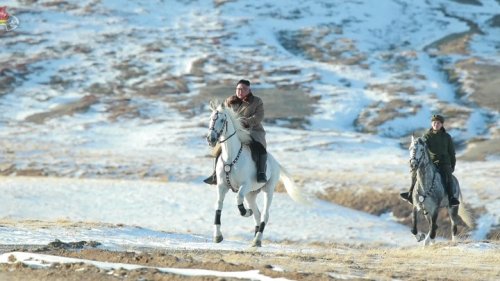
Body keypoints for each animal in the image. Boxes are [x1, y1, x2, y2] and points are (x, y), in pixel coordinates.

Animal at [206, 99, 308, 246]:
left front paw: (245, 212)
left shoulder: (245, 186)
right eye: (210, 118)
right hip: (251, 194)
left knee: (265, 214)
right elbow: (218, 206)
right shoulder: (221, 186)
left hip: (267, 190)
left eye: (221, 120)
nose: (211, 139)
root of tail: (275, 162)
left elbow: (238, 198)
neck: (232, 157)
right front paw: (217, 236)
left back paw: (257, 239)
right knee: (258, 214)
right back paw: (255, 237)